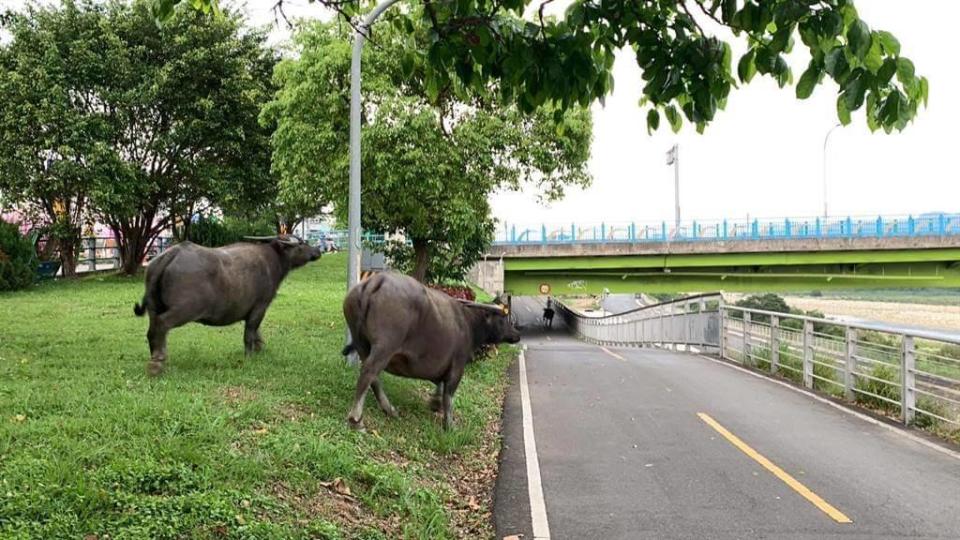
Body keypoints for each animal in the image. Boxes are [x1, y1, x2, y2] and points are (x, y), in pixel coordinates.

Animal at [132, 236, 322, 376]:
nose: (318, 251)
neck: (273, 259)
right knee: (162, 324)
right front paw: (250, 356)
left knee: (152, 330)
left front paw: (260, 348)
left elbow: (256, 332)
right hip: (185, 309)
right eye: (301, 244)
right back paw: (157, 362)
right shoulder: (260, 306)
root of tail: (171, 254)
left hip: (154, 307)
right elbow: (250, 333)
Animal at [338, 272, 516, 432]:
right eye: (503, 319)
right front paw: (449, 424)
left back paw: (389, 410)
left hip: (361, 344)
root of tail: (375, 281)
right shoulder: (457, 365)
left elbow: (439, 383)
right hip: (385, 346)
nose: (516, 334)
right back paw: (356, 420)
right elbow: (449, 394)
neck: (468, 323)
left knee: (373, 377)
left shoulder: (435, 365)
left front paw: (435, 403)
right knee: (368, 373)